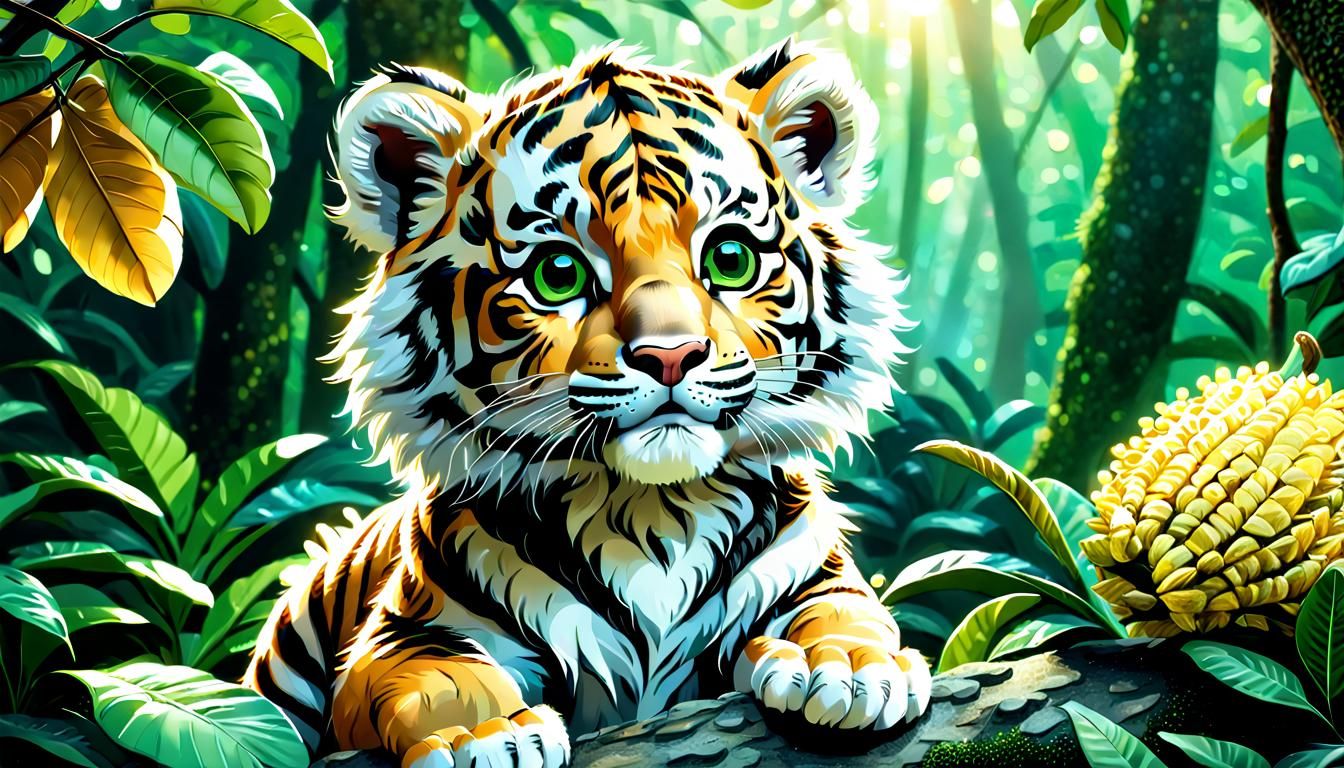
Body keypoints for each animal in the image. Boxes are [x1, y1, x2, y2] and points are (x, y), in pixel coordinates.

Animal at [245, 37, 930, 768]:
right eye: (558, 273)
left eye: (731, 258)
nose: (671, 355)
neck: (655, 512)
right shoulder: (403, 630)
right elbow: (440, 674)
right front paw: (488, 735)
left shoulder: (818, 575)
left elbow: (846, 612)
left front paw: (850, 672)